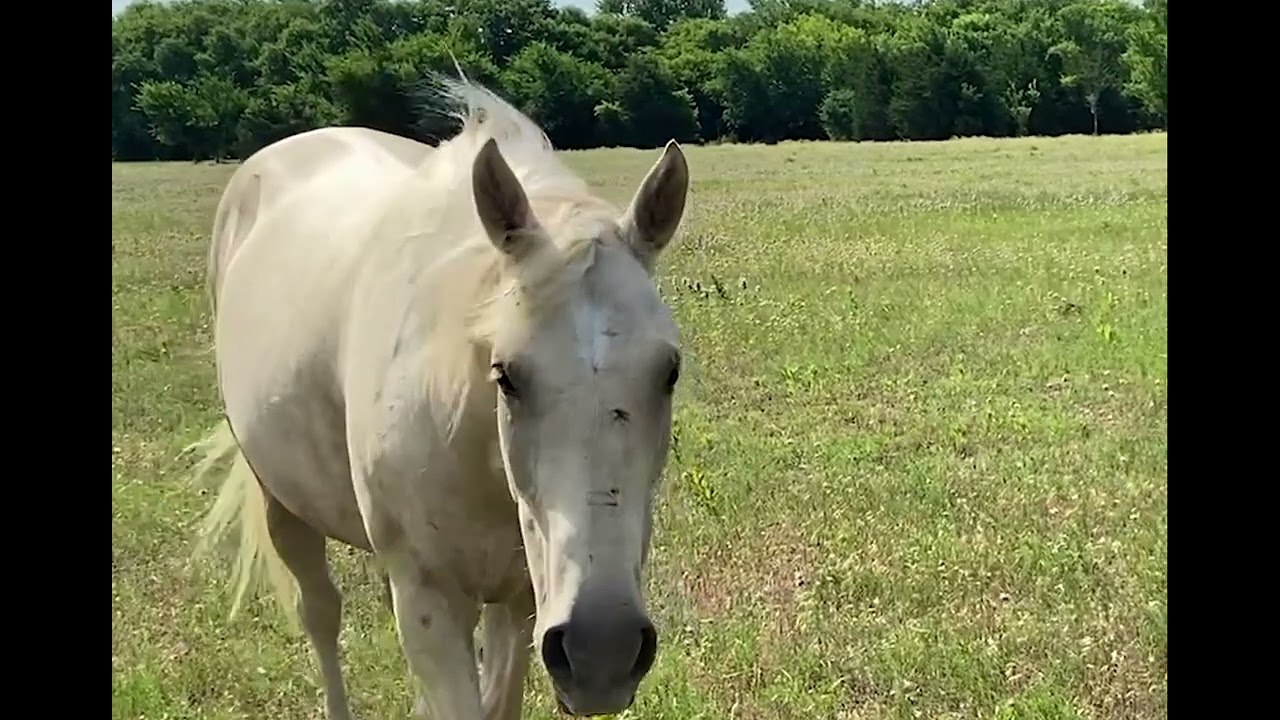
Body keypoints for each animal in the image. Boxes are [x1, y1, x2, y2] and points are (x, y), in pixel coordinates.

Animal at [186, 75, 691, 720]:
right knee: (320, 614)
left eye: (669, 371)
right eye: (506, 374)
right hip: (281, 500)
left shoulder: (520, 597)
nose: (601, 648)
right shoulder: (430, 601)